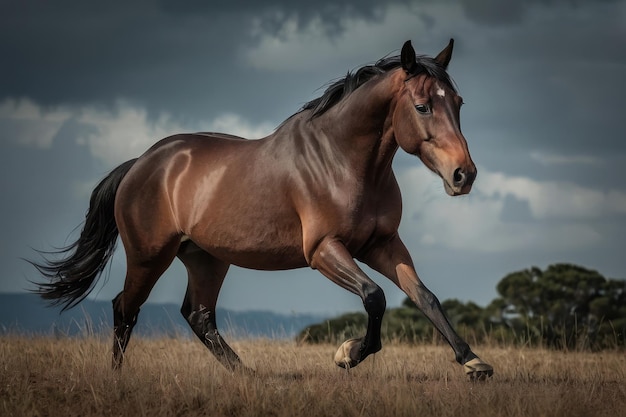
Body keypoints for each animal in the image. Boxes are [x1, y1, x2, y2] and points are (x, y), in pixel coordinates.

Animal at [30, 39, 492, 380]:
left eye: (459, 102)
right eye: (422, 106)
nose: (463, 175)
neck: (342, 160)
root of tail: (142, 163)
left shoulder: (383, 245)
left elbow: (425, 297)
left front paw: (473, 362)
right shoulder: (323, 250)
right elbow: (374, 296)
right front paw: (347, 354)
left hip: (206, 258)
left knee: (198, 316)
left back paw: (247, 374)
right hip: (149, 256)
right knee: (125, 309)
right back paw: (117, 378)